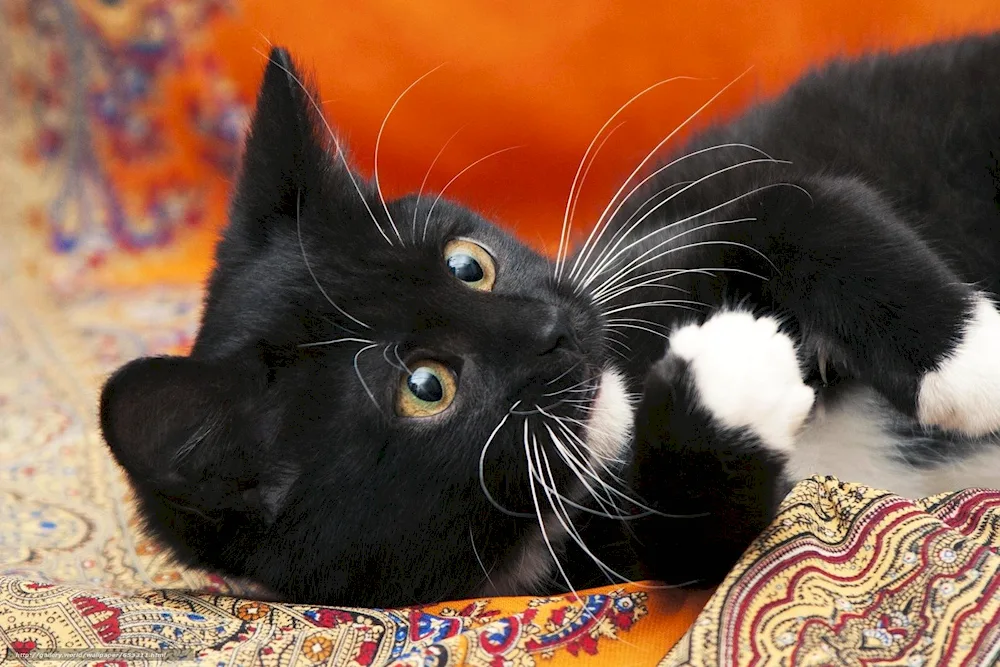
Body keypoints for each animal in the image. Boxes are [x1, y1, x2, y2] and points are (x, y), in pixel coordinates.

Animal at [99, 31, 1000, 608]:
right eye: (424, 385)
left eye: (470, 263)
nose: (550, 330)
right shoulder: (600, 561)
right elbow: (703, 545)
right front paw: (730, 379)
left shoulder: (661, 254)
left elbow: (801, 203)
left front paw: (971, 361)